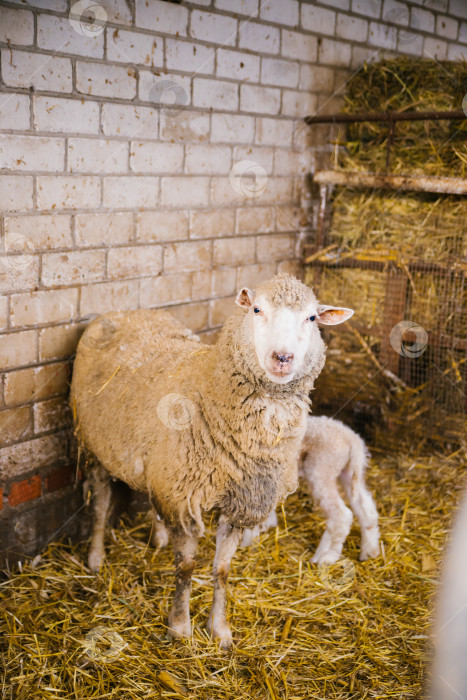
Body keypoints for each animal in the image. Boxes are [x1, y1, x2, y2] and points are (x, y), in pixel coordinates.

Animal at [71, 274, 352, 644]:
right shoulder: (181, 496)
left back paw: (158, 538)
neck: (209, 387)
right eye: (257, 309)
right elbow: (186, 567)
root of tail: (126, 311)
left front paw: (219, 630)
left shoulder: (237, 501)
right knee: (101, 502)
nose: (282, 357)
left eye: (312, 318)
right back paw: (95, 557)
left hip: (156, 463)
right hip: (94, 444)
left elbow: (222, 569)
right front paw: (179, 628)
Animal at [241, 416, 380, 564]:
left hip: (321, 470)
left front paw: (247, 540)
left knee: (341, 515)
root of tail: (352, 439)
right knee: (366, 508)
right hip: (348, 472)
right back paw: (369, 551)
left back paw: (326, 556)